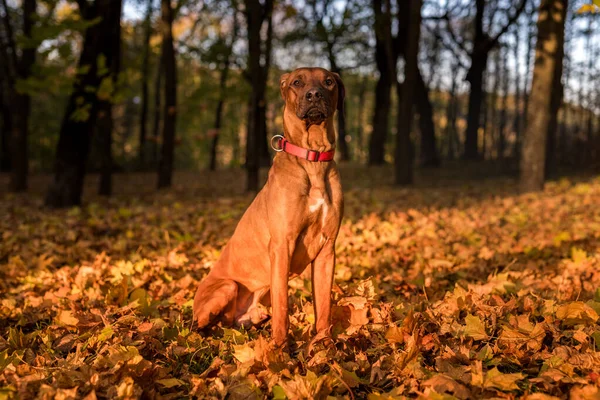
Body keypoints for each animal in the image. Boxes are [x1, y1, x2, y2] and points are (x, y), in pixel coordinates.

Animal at [192, 67, 342, 346]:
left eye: (328, 81)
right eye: (297, 82)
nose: (314, 94)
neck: (313, 159)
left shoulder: (327, 248)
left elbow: (324, 307)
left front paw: (324, 346)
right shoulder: (282, 245)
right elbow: (282, 307)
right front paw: (280, 349)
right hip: (227, 286)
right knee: (201, 326)